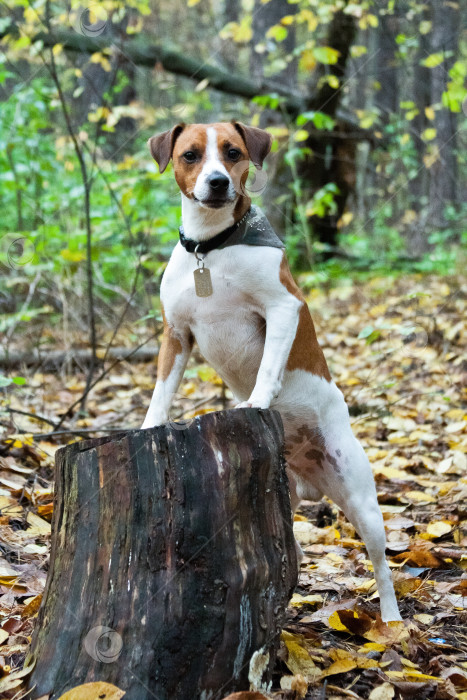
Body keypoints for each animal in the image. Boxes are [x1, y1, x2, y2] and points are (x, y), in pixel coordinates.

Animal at [144, 123, 402, 620]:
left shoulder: (283, 308)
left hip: (361, 500)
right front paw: (149, 425)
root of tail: (304, 471)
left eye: (232, 153)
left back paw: (393, 619)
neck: (212, 248)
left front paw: (258, 401)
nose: (218, 182)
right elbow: (161, 391)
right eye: (190, 155)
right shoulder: (176, 335)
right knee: (292, 558)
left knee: (381, 563)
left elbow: (268, 367)